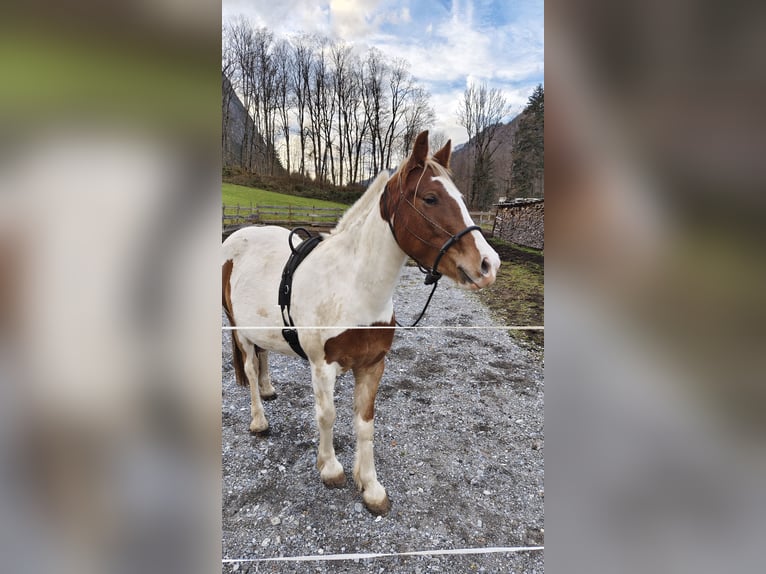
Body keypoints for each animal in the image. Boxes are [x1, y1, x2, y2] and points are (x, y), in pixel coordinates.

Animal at [222, 131, 500, 515]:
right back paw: (259, 420)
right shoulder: (322, 366)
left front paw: (370, 487)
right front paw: (331, 469)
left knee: (262, 359)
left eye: (460, 197)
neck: (354, 287)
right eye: (430, 198)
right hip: (239, 331)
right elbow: (327, 416)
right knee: (249, 368)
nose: (489, 264)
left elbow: (365, 424)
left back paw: (267, 389)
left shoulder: (372, 365)